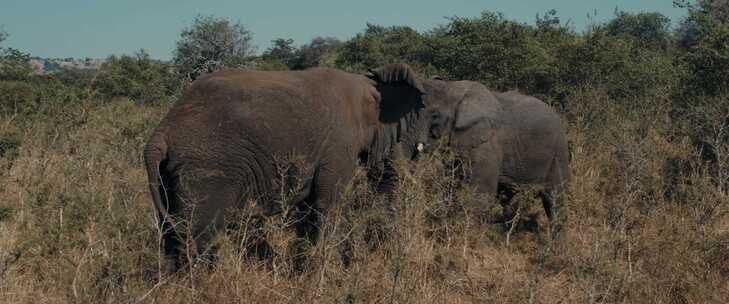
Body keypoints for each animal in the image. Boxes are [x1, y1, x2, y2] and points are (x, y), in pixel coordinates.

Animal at [144, 66, 426, 268]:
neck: (363, 84)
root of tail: (161, 133)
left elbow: (309, 208)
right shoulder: (338, 147)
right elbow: (329, 204)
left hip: (168, 175)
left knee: (170, 234)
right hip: (206, 170)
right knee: (200, 234)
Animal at [370, 64, 568, 245]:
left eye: (435, 116)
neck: (453, 90)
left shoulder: (487, 144)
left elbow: (479, 196)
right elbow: (453, 186)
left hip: (558, 152)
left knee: (554, 199)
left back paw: (555, 245)